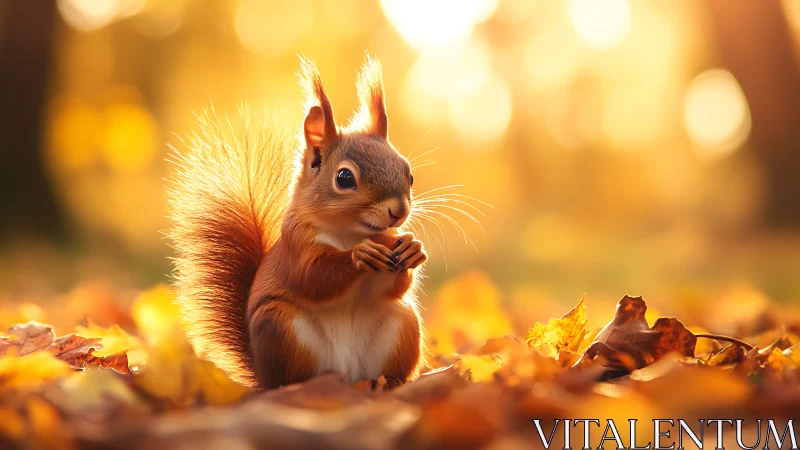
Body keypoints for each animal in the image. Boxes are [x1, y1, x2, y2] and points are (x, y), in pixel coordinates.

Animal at [167, 56, 427, 390]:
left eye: (409, 173)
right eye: (345, 178)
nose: (399, 210)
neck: (350, 233)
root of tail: (347, 378)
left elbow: (392, 288)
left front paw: (412, 248)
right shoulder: (296, 244)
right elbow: (312, 277)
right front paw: (360, 255)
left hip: (403, 324)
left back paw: (388, 382)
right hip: (279, 327)